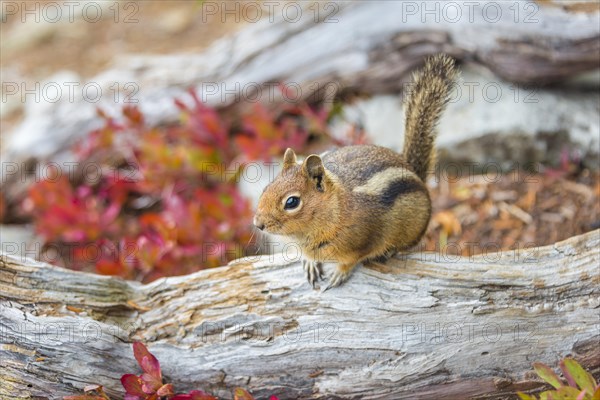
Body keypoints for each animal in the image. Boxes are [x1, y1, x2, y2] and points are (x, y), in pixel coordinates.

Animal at [252, 54, 454, 290]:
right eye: (266, 188)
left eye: (292, 202)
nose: (258, 224)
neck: (335, 209)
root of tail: (414, 172)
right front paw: (310, 263)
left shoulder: (363, 241)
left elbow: (353, 259)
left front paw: (339, 273)